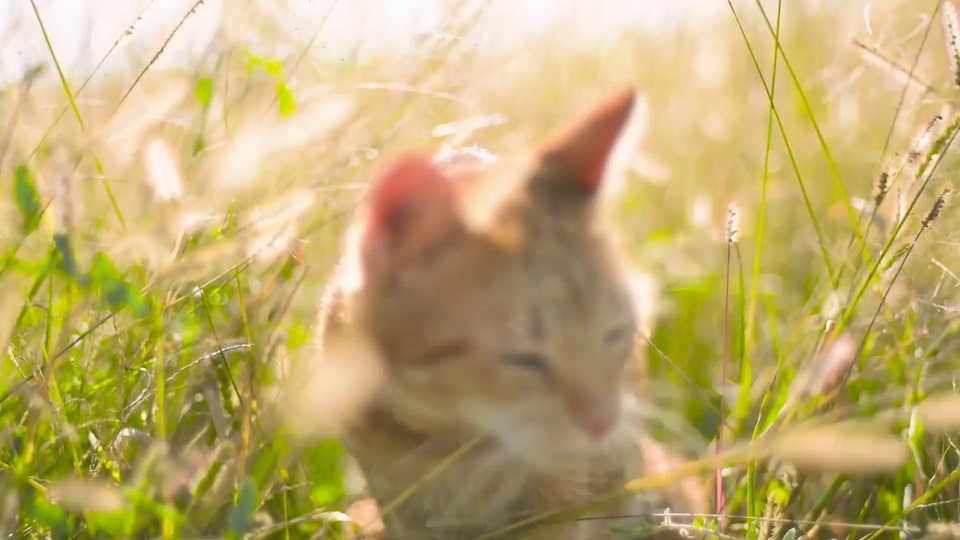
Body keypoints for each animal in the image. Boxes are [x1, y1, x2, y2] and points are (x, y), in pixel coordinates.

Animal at [316, 86, 704, 536]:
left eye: (615, 333)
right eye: (524, 359)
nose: (603, 422)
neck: (454, 437)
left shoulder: (572, 495)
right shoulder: (398, 502)